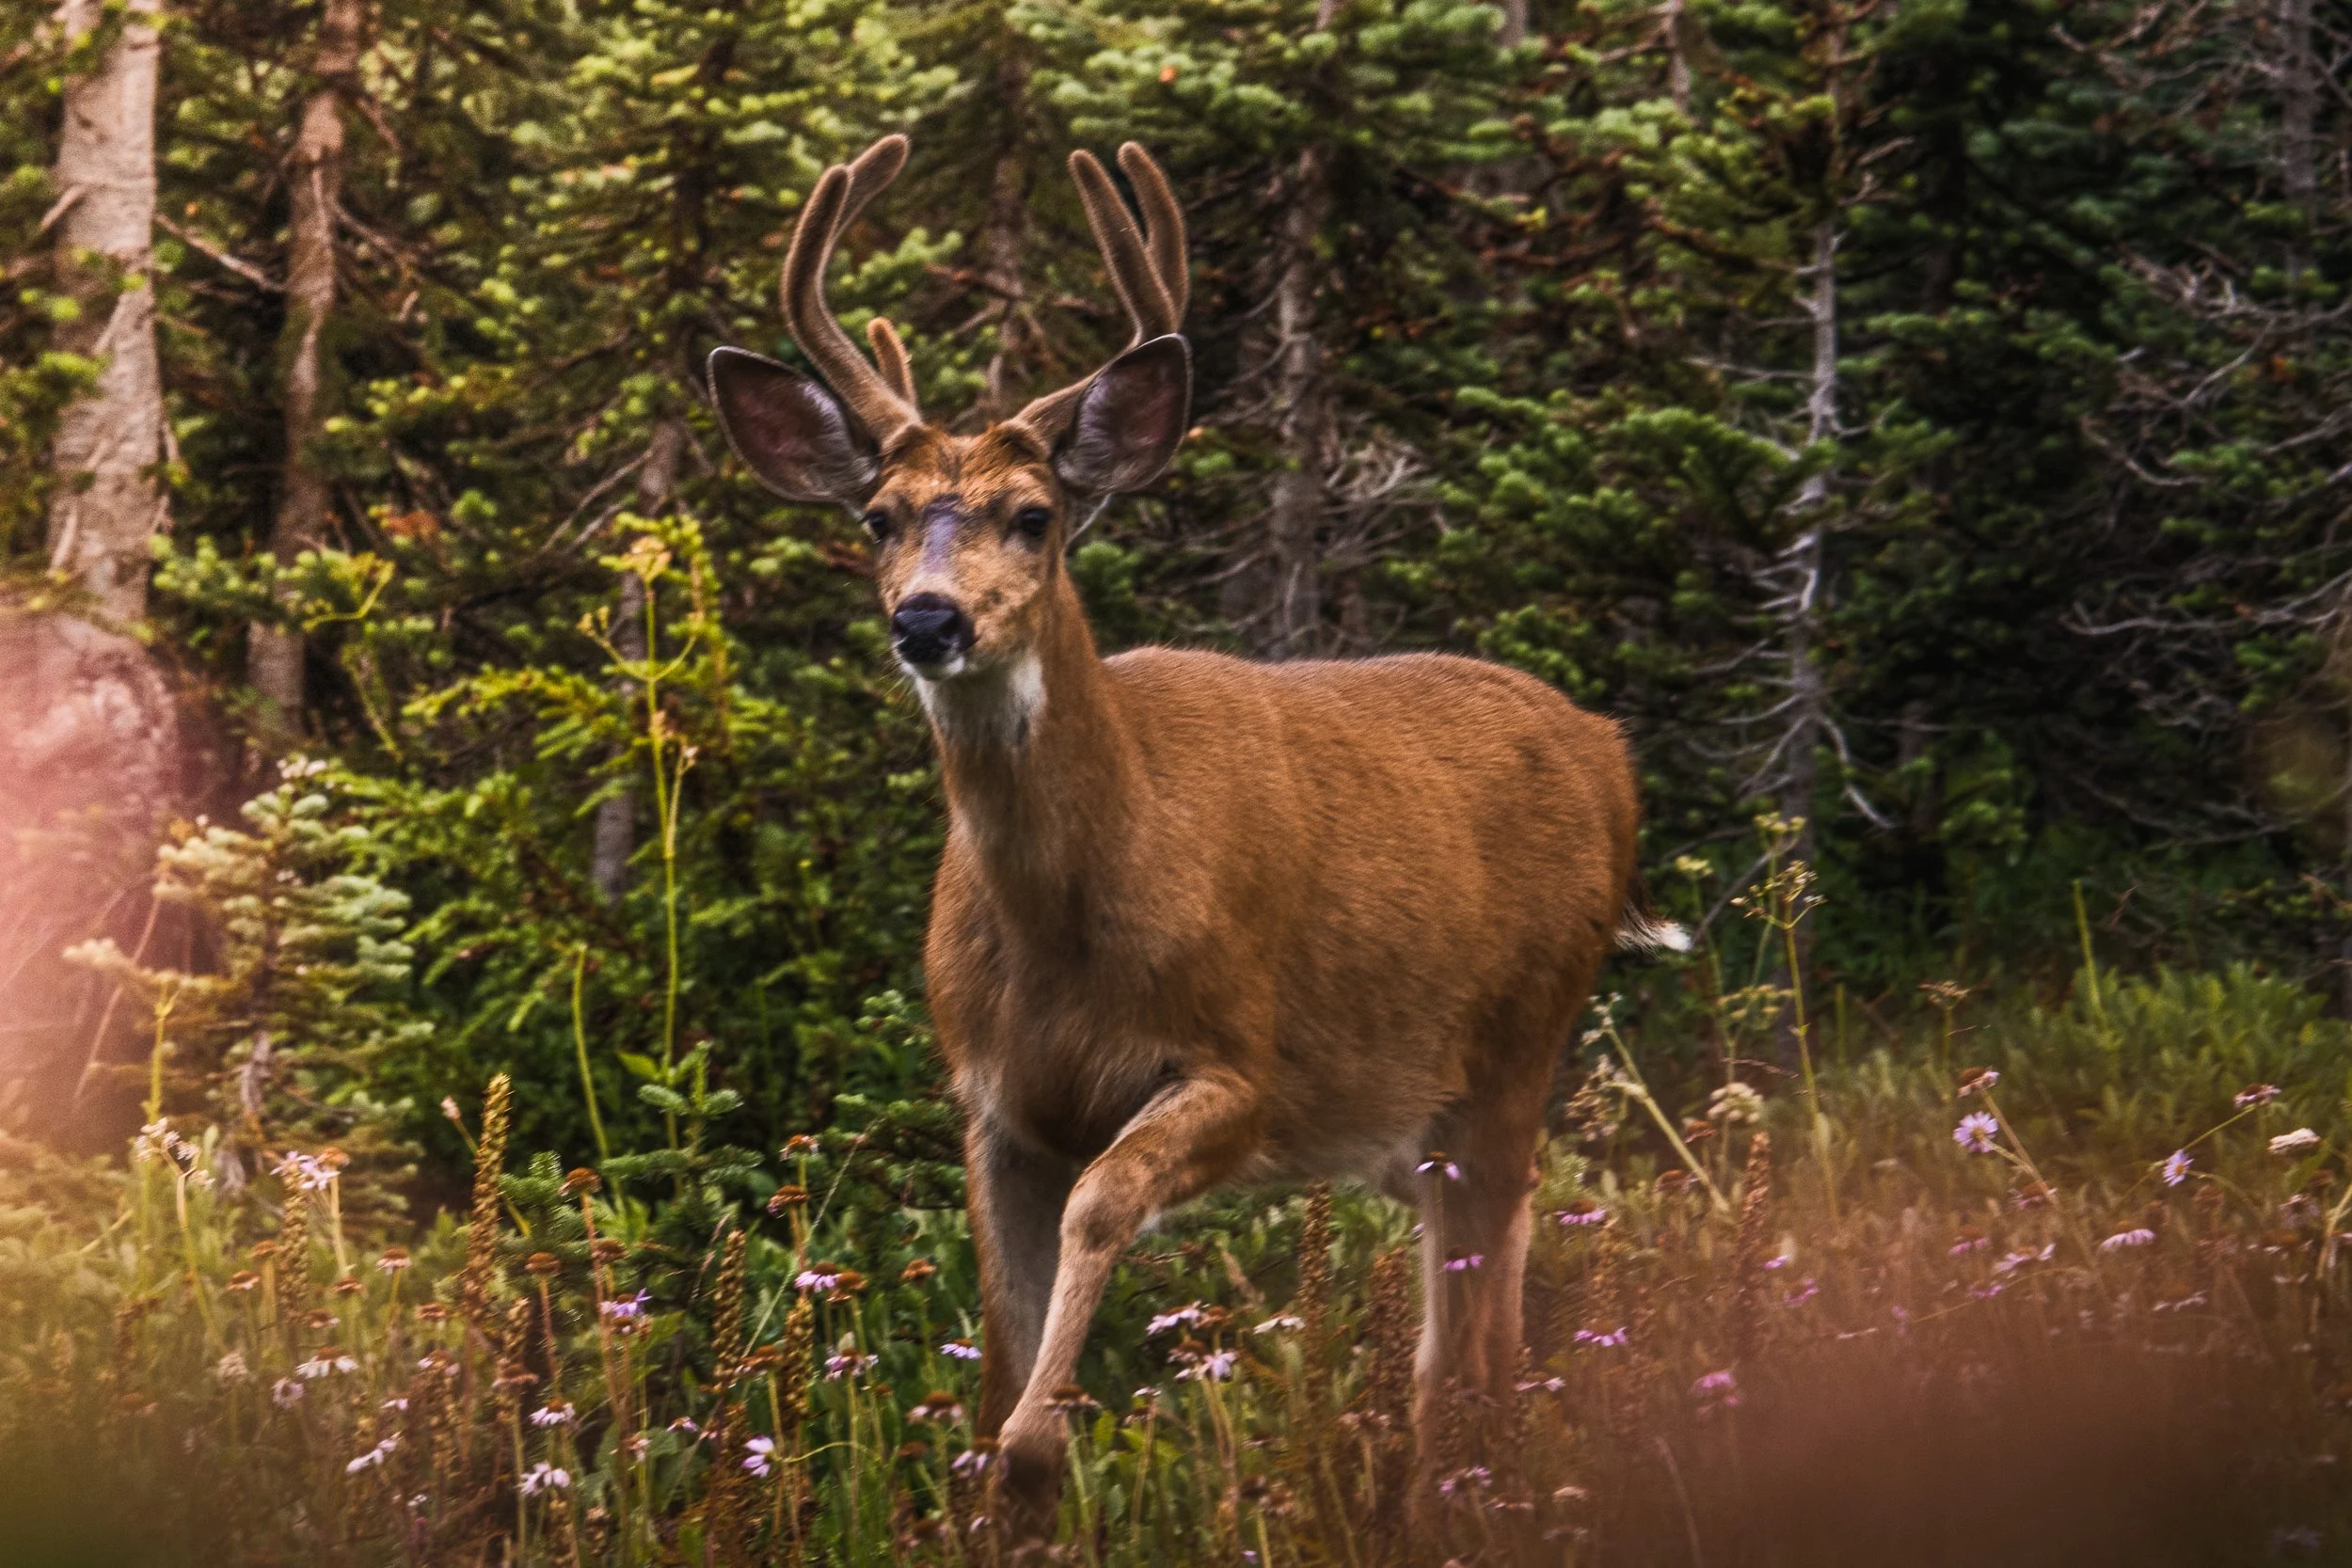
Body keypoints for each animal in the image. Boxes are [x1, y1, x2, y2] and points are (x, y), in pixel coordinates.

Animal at [707, 133, 1684, 1541]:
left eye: (1033, 513)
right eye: (877, 517)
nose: (929, 620)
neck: (1067, 926)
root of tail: (1611, 754)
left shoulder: (1242, 1060)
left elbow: (1103, 1205)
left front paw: (1039, 1449)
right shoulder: (989, 1099)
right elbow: (992, 1349)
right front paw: (1001, 1482)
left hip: (1518, 1043)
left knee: (1487, 1329)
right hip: (1425, 1120)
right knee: (1458, 1320)